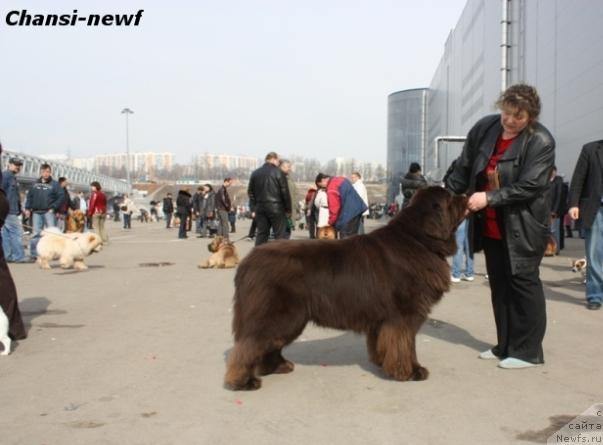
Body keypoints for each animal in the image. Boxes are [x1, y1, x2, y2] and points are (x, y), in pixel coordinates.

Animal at [225, 186, 468, 388]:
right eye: (449, 197)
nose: (466, 195)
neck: (418, 240)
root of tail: (248, 261)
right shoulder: (403, 316)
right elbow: (405, 345)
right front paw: (410, 372)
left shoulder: (384, 320)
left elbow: (386, 344)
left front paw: (384, 364)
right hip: (277, 315)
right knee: (249, 345)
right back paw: (243, 381)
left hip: (289, 319)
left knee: (267, 344)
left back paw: (277, 367)